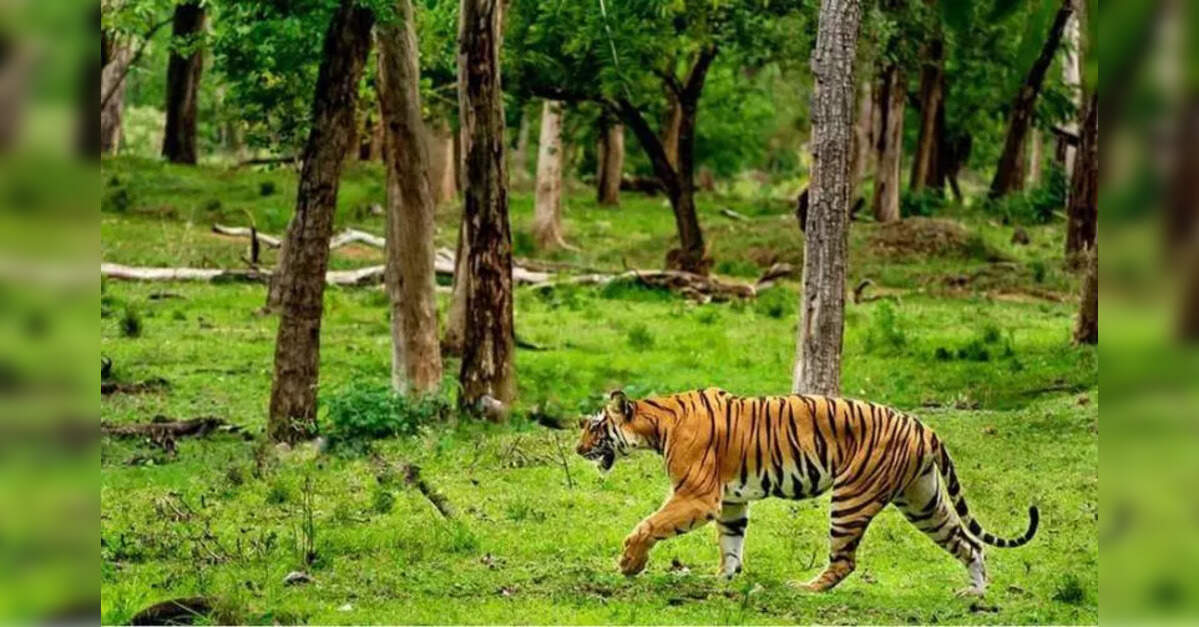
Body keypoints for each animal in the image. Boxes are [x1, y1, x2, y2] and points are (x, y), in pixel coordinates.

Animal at [575, 388, 1038, 595]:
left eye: (595, 427)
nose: (578, 449)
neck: (657, 423)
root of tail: (922, 425)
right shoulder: (731, 500)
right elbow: (731, 543)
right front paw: (724, 578)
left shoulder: (697, 496)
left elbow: (648, 525)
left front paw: (629, 564)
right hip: (923, 501)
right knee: (970, 543)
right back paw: (974, 593)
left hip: (851, 498)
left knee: (844, 561)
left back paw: (805, 588)